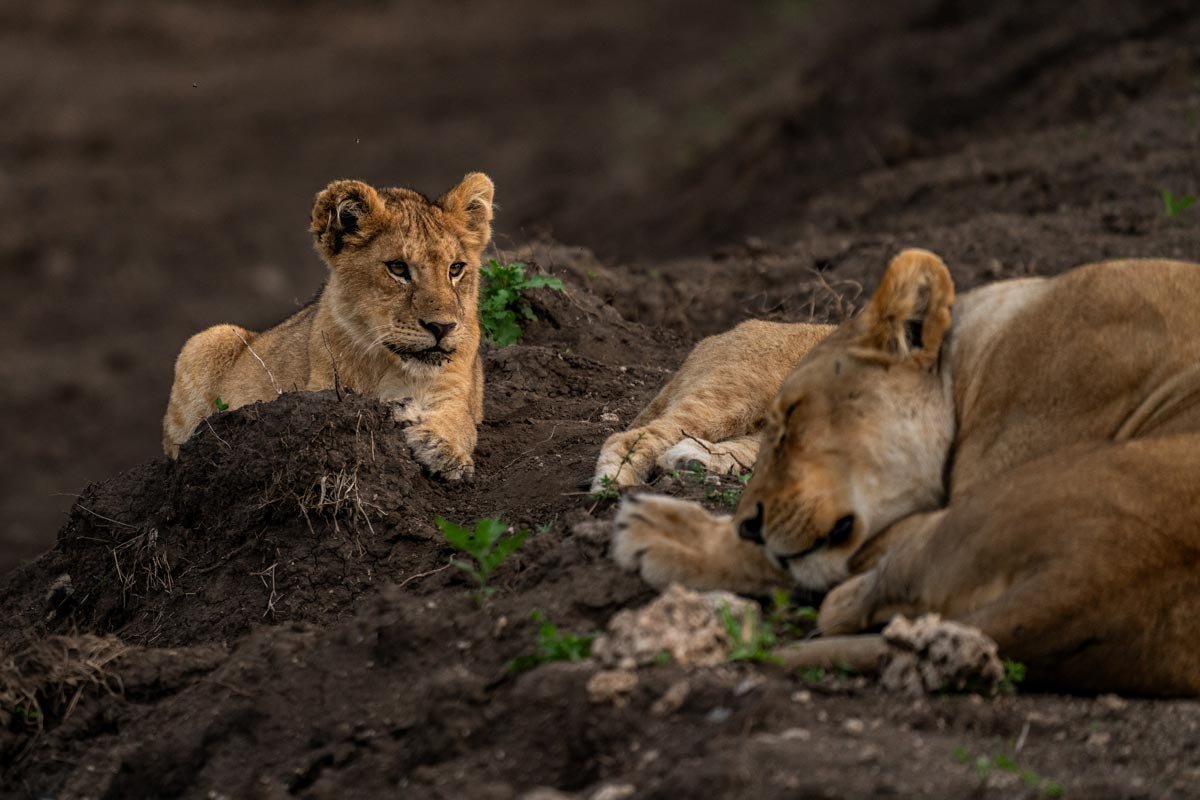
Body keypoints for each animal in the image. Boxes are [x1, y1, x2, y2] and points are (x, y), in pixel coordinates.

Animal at [163, 173, 494, 480]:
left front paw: (443, 449)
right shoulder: (322, 389)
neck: (390, 365)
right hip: (208, 340)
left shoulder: (455, 388)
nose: (442, 327)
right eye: (398, 268)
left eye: (455, 269)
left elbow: (460, 420)